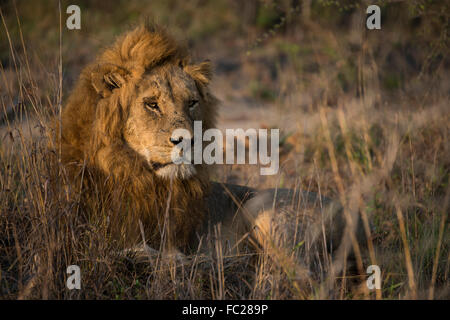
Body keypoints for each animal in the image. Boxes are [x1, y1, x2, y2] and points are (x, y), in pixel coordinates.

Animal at [58, 23, 360, 268]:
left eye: (192, 102)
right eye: (151, 104)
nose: (189, 141)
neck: (127, 169)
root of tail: (354, 218)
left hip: (263, 210)